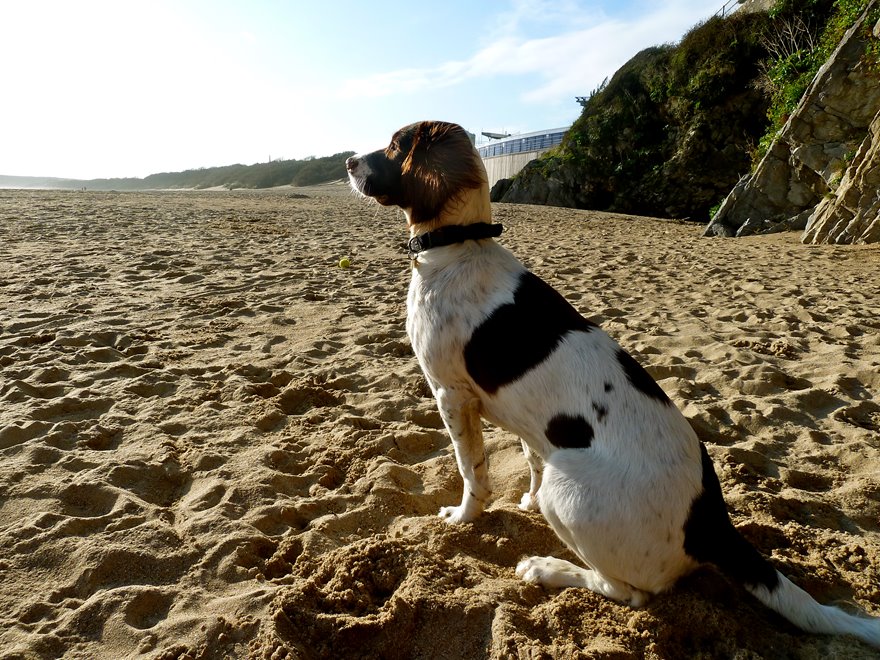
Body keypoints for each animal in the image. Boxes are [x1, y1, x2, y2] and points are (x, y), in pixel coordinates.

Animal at [346, 118, 880, 644]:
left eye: (395, 145)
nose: (349, 160)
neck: (458, 246)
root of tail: (710, 522)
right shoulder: (524, 424)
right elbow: (529, 458)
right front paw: (522, 501)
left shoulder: (450, 394)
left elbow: (471, 472)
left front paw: (462, 518)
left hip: (568, 490)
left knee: (628, 592)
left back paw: (548, 569)